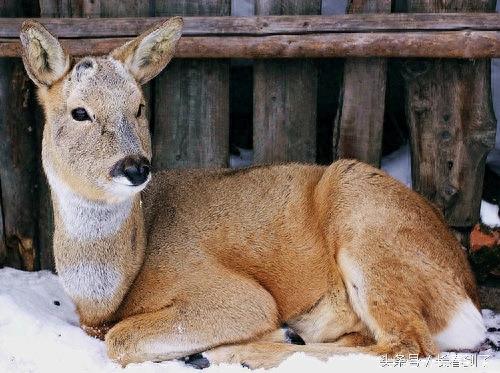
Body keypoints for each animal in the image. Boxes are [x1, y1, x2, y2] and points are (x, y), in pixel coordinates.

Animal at [19, 18, 484, 370]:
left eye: (139, 108)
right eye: (79, 112)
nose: (135, 167)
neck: (109, 295)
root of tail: (468, 293)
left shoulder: (233, 292)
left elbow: (120, 339)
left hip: (368, 228)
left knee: (407, 344)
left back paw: (242, 349)